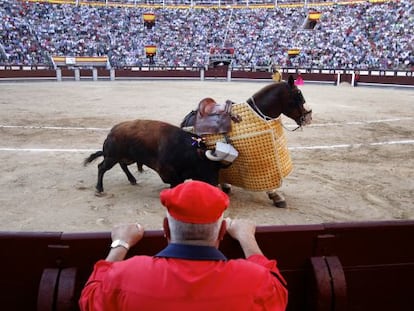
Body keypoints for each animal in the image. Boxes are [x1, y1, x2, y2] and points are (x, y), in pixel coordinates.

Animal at [83, 119, 225, 194]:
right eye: (208, 166)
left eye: (218, 168)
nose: (215, 185)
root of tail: (111, 132)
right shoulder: (167, 171)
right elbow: (175, 182)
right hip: (111, 157)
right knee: (101, 167)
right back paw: (99, 188)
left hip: (126, 157)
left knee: (122, 165)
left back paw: (132, 180)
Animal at [180, 74, 312, 208]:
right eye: (299, 94)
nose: (308, 117)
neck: (259, 112)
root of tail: (187, 119)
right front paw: (276, 196)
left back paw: (224, 186)